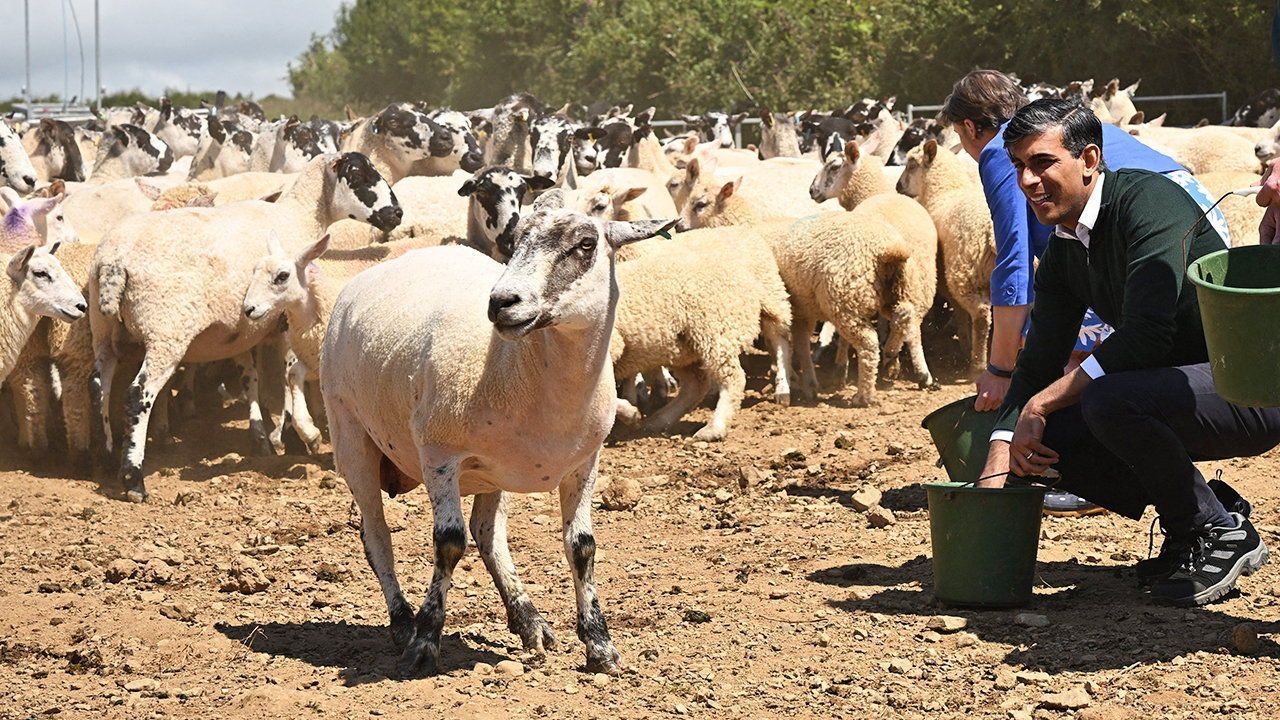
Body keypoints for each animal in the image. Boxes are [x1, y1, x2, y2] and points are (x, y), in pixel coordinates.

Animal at [88, 151, 399, 499]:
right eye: (357, 174)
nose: (397, 213)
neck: (299, 217)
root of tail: (114, 261)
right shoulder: (284, 319)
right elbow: (287, 373)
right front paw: (297, 436)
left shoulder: (241, 331)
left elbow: (251, 377)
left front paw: (264, 438)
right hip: (166, 331)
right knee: (137, 394)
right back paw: (133, 479)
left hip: (104, 331)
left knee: (98, 387)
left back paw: (104, 458)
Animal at [320, 188, 670, 676]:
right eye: (518, 239)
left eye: (585, 244)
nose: (502, 302)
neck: (522, 366)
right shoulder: (439, 455)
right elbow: (448, 543)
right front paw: (425, 641)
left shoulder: (585, 462)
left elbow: (581, 546)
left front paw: (600, 646)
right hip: (351, 434)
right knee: (377, 537)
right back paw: (402, 623)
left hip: (490, 473)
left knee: (488, 533)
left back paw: (528, 619)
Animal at [606, 225, 788, 438]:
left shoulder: (610, 346)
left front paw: (630, 414)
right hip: (681, 347)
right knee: (695, 386)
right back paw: (659, 421)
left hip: (714, 330)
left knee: (735, 376)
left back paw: (714, 428)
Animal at [896, 140, 993, 376]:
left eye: (912, 165)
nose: (898, 187)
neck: (945, 191)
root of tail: (990, 231)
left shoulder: (946, 281)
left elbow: (959, 313)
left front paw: (965, 343)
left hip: (964, 273)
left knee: (981, 315)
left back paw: (977, 366)